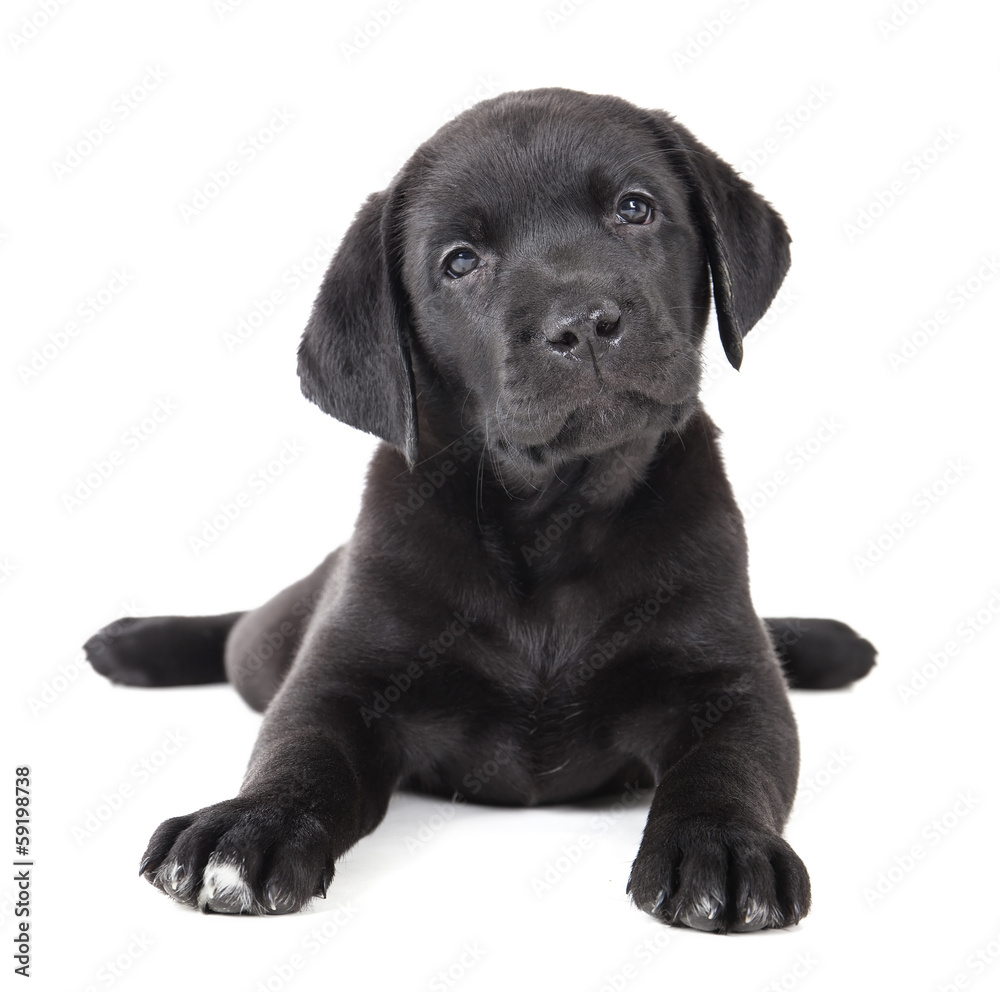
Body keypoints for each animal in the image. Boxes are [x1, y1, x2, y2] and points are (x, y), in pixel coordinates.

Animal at [84, 89, 876, 932]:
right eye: (460, 261)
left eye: (635, 208)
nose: (584, 321)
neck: (552, 521)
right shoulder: (342, 676)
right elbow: (299, 750)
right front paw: (246, 825)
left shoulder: (732, 679)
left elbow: (731, 764)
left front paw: (721, 845)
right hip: (273, 641)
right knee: (240, 628)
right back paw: (132, 642)